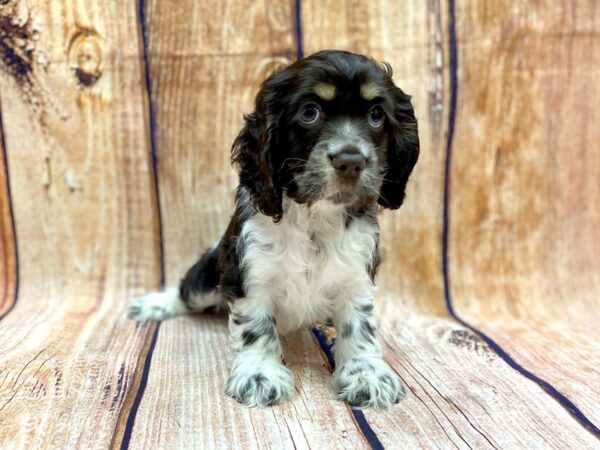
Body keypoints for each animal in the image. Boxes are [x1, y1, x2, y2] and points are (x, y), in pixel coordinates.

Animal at [127, 51, 418, 410]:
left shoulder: (356, 275)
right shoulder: (249, 273)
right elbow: (257, 325)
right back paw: (156, 304)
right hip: (207, 277)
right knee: (185, 291)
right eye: (310, 112)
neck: (315, 217)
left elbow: (359, 325)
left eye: (376, 115)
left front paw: (367, 374)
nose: (351, 161)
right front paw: (260, 374)